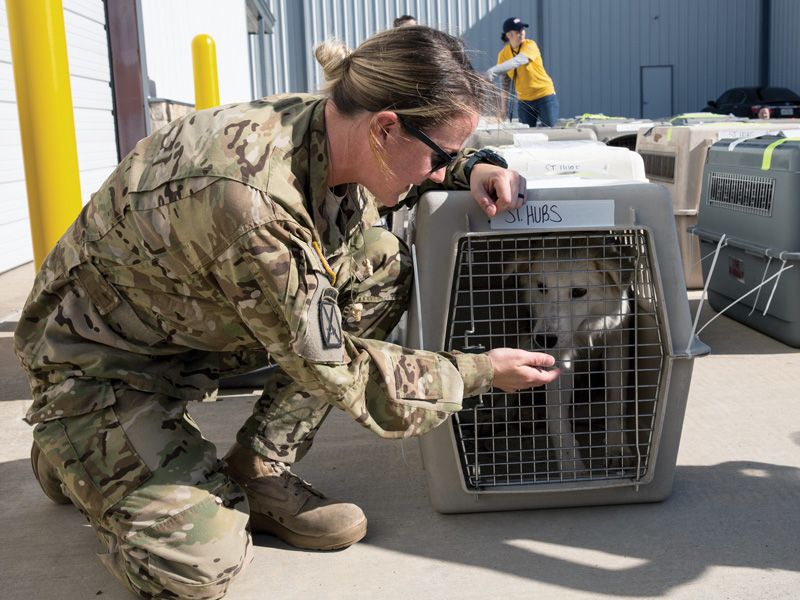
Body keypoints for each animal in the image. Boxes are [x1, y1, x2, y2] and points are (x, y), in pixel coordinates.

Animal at [510, 234, 636, 478]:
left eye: (578, 292)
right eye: (541, 287)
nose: (544, 340)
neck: (583, 329)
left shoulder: (617, 339)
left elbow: (616, 397)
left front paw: (616, 445)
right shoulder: (557, 355)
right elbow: (556, 416)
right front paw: (571, 468)